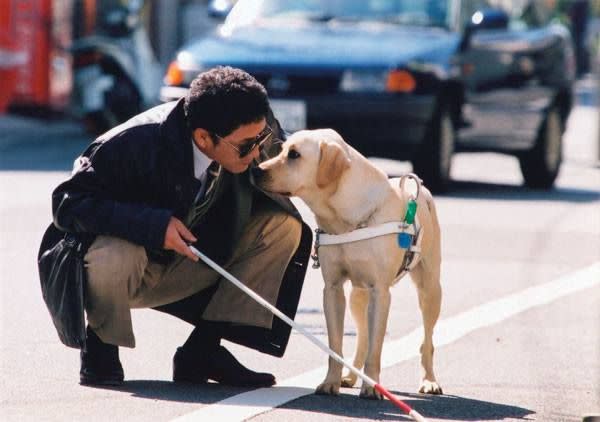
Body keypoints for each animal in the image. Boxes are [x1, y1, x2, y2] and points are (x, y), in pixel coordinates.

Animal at [255, 129, 442, 398]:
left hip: (429, 290)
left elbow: (376, 348)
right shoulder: (332, 289)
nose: (255, 170)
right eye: (281, 150)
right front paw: (330, 382)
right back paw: (351, 376)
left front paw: (372, 387)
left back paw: (429, 381)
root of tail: (421, 190)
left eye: (294, 155)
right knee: (362, 337)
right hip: (357, 296)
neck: (346, 220)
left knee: (426, 340)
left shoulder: (380, 292)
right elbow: (336, 346)